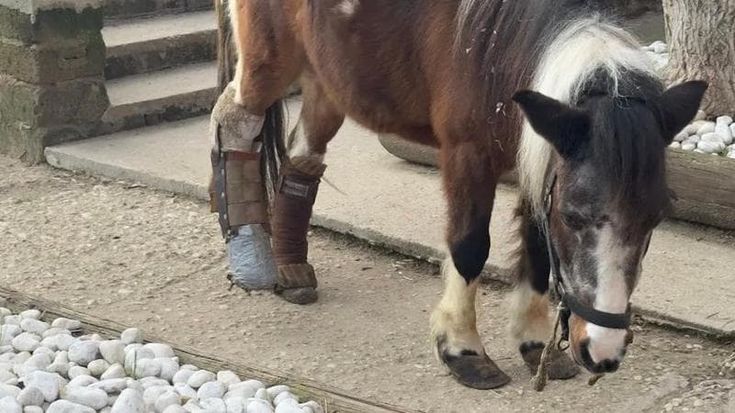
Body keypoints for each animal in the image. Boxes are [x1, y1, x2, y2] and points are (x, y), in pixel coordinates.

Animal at [224, 0, 707, 389]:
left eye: (655, 218)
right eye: (572, 216)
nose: (603, 352)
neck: (494, 47)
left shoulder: (535, 155)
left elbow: (537, 247)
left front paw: (534, 344)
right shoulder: (466, 156)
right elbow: (470, 247)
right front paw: (463, 351)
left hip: (326, 79)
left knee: (301, 158)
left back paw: (291, 269)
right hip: (268, 62)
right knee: (233, 118)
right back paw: (250, 255)